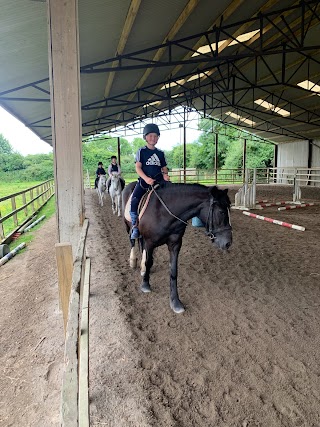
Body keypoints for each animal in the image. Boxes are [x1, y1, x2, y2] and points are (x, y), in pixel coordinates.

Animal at [122, 182, 232, 312]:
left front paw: (175, 302)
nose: (228, 243)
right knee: (132, 241)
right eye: (221, 212)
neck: (163, 212)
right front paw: (145, 285)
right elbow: (148, 262)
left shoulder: (175, 244)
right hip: (128, 226)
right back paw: (133, 261)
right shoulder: (150, 242)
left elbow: (173, 271)